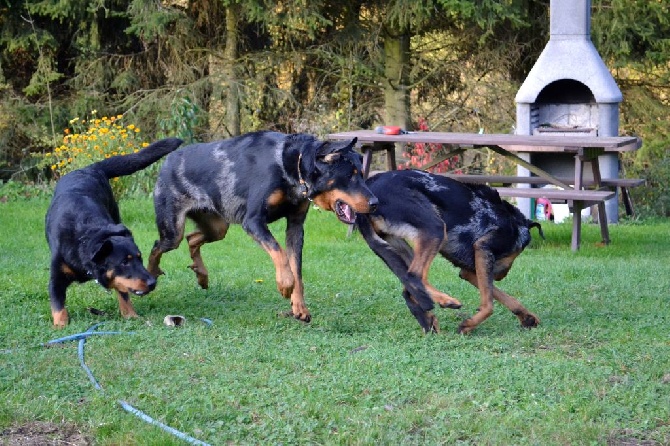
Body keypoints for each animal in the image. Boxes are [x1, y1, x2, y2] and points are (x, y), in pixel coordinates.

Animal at [45, 135, 184, 324]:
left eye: (140, 258)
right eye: (124, 262)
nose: (152, 282)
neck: (84, 237)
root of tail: (90, 168)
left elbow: (123, 293)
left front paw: (130, 314)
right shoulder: (56, 277)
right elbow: (58, 306)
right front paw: (61, 326)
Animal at [148, 131, 378, 322]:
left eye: (362, 174)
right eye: (350, 175)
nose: (375, 203)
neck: (290, 167)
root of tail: (168, 161)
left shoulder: (295, 226)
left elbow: (297, 270)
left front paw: (299, 307)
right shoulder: (253, 221)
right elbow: (279, 253)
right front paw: (284, 284)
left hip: (217, 227)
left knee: (192, 238)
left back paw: (202, 275)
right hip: (173, 230)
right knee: (158, 245)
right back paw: (151, 273)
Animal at [360, 171, 544, 334]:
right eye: (519, 250)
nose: (501, 276)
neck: (513, 223)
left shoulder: (470, 271)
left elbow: (501, 296)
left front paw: (527, 316)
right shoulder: (483, 250)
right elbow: (489, 304)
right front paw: (468, 326)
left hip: (402, 246)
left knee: (410, 288)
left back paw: (428, 318)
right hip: (434, 229)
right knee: (414, 277)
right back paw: (445, 302)